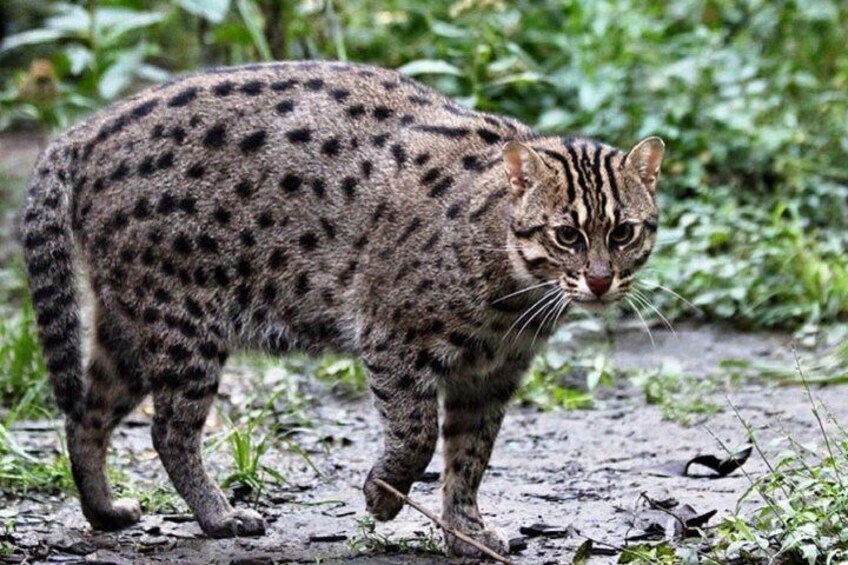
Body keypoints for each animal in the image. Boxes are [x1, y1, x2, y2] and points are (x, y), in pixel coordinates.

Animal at [19, 61, 664, 556]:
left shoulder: (492, 374)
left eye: (624, 232)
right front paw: (382, 495)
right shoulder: (392, 337)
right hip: (182, 323)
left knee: (86, 412)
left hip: (130, 324)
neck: (514, 294)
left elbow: (470, 457)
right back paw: (219, 516)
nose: (601, 281)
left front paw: (464, 532)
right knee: (167, 431)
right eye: (566, 235)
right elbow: (417, 435)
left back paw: (103, 509)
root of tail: (86, 129)